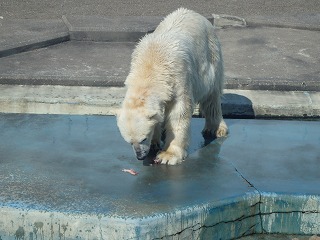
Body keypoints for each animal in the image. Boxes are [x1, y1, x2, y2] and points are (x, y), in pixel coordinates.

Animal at [117, 7, 228, 165]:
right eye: (129, 142)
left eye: (144, 138)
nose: (140, 156)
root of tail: (194, 12)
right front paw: (156, 141)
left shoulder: (178, 77)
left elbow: (179, 113)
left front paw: (168, 155)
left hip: (212, 57)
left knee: (212, 95)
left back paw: (215, 128)